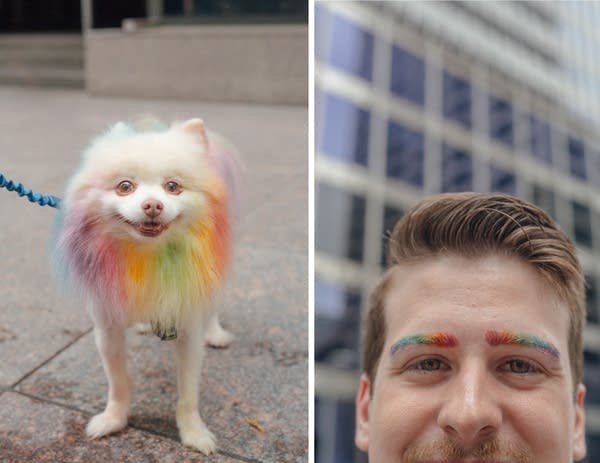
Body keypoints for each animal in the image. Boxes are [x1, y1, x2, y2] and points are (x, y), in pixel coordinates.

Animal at [52, 118, 239, 454]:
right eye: (125, 186)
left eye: (173, 186)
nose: (153, 205)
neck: (147, 257)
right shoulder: (107, 328)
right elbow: (117, 383)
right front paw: (113, 419)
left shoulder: (188, 330)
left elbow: (188, 393)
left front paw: (194, 433)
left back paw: (216, 333)